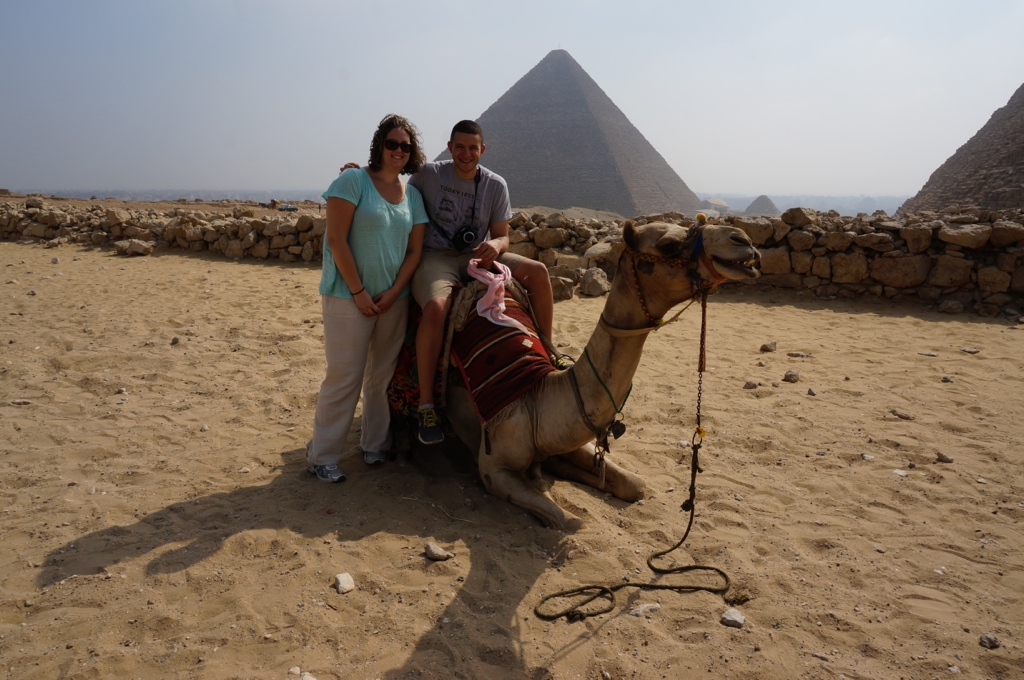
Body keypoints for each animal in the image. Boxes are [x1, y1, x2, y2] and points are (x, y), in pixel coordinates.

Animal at [442, 219, 761, 532]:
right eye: (668, 245)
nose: (743, 240)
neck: (536, 395)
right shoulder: (494, 468)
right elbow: (571, 521)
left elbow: (636, 484)